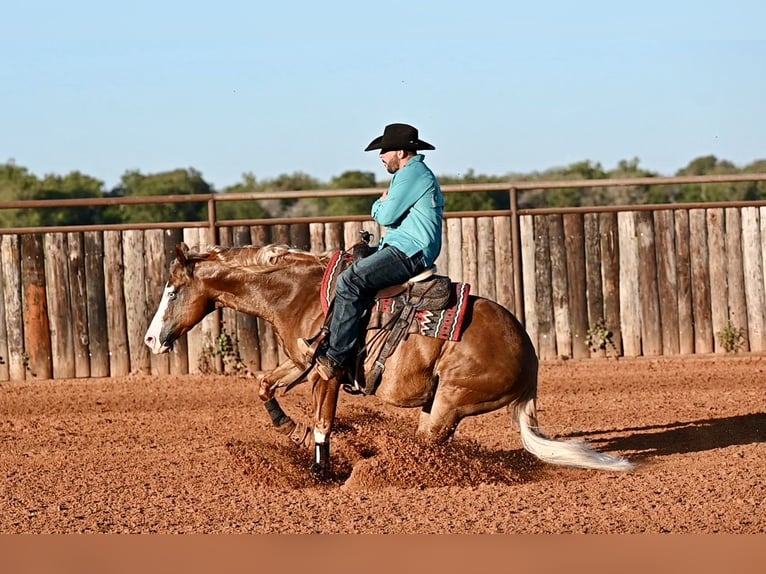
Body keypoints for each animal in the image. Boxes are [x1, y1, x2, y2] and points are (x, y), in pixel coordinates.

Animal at [144, 242, 635, 478]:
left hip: (450, 403)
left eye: (172, 290)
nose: (150, 339)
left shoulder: (327, 371)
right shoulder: (303, 361)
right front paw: (290, 429)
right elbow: (265, 385)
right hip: (439, 405)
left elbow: (323, 422)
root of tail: (530, 358)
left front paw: (320, 470)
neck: (298, 292)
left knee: (429, 445)